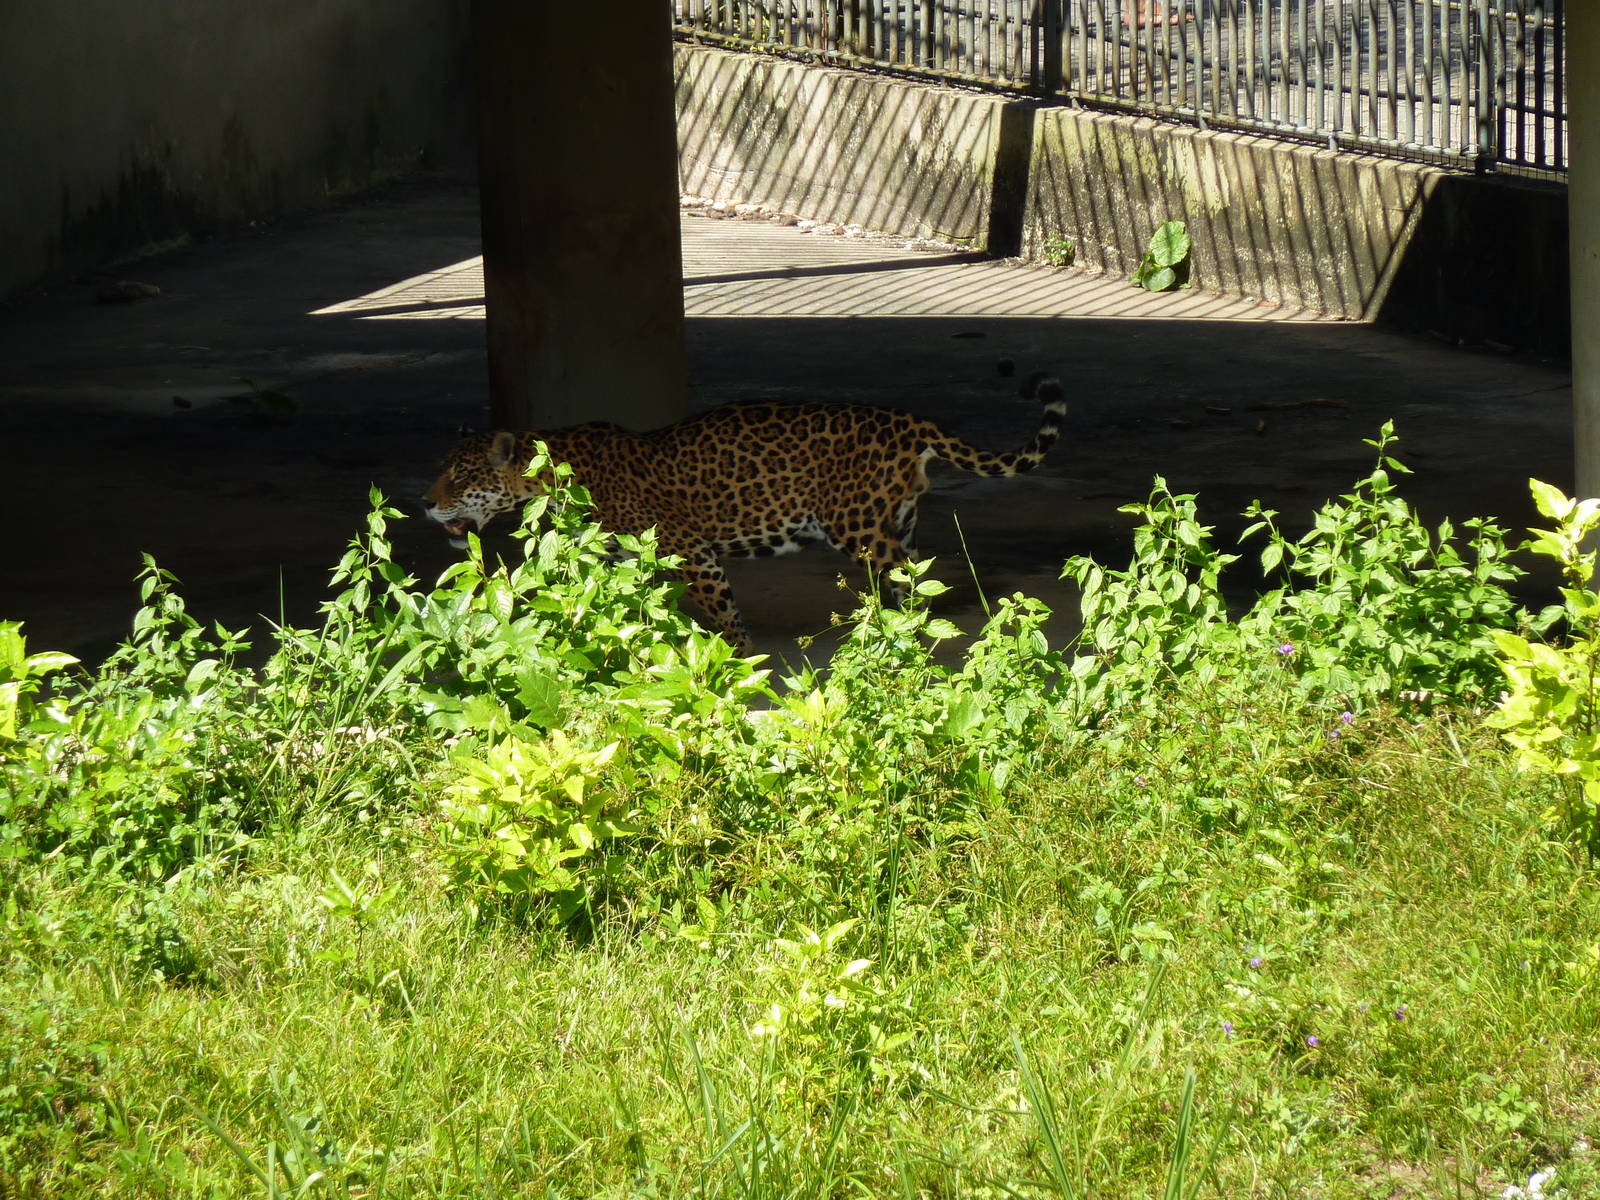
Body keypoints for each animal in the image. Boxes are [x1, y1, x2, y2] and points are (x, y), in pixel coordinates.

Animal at [423, 375, 1067, 652]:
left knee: (902, 581)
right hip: (896, 520)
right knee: (913, 577)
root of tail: (910, 422)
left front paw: (737, 659)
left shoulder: (686, 549)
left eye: (461, 475)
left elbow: (723, 613)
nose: (427, 503)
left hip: (859, 527)